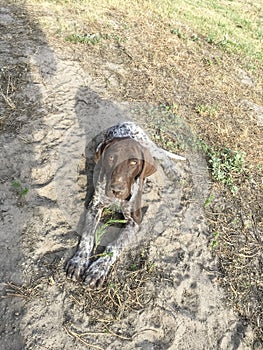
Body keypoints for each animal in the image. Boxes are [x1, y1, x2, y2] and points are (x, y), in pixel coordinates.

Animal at [65, 121, 186, 288]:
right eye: (110, 157)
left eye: (133, 162)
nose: (116, 190)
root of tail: (125, 123)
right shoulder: (94, 206)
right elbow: (87, 237)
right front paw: (79, 261)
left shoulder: (135, 220)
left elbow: (115, 246)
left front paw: (99, 269)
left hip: (148, 145)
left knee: (161, 153)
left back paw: (172, 170)